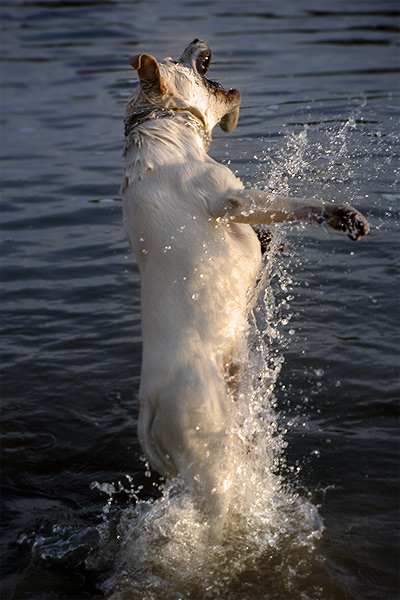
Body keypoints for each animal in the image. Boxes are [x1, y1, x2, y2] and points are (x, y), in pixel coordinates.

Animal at [121, 38, 368, 536]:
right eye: (177, 60)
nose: (197, 40)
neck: (165, 133)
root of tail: (150, 409)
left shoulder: (239, 210)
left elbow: (269, 232)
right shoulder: (232, 199)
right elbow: (293, 204)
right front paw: (340, 215)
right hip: (212, 457)